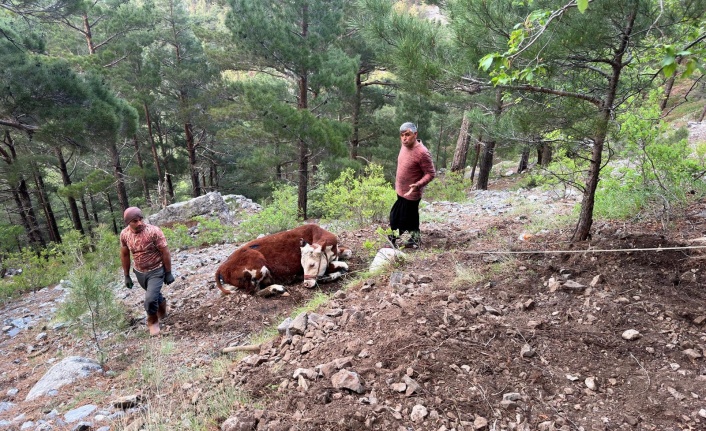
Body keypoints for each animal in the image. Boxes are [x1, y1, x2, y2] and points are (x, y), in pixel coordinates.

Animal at [213, 223, 348, 296]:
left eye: (312, 264)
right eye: (303, 265)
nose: (306, 284)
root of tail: (222, 266)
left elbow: (348, 253)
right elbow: (344, 266)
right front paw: (328, 276)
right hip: (257, 265)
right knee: (253, 292)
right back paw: (277, 288)